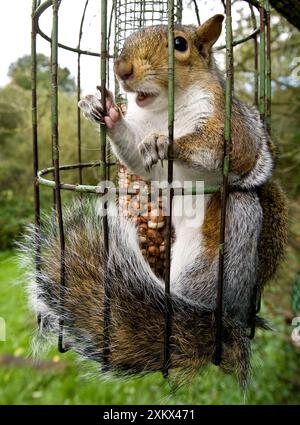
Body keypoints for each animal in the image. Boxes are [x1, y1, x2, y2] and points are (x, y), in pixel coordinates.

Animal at [21, 16, 288, 386]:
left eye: (180, 44)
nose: (121, 70)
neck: (164, 110)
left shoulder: (230, 125)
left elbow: (224, 150)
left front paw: (168, 141)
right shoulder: (145, 150)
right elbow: (136, 155)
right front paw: (104, 110)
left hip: (225, 238)